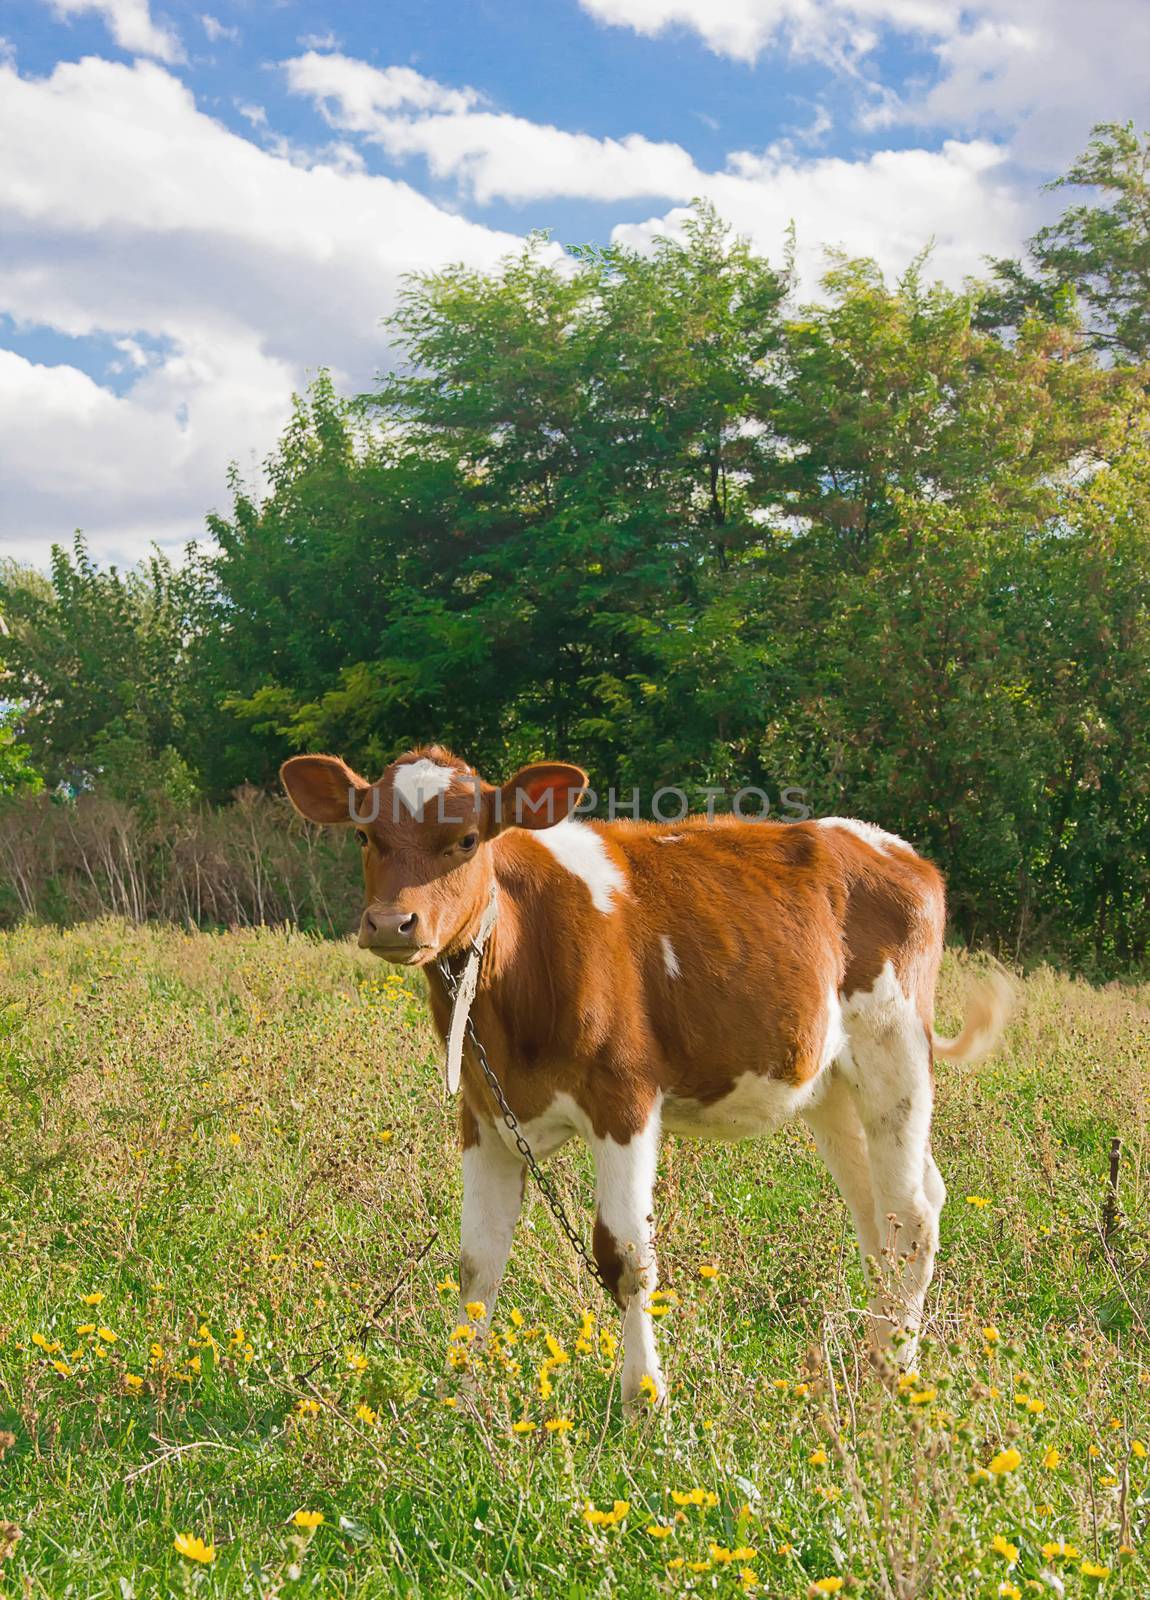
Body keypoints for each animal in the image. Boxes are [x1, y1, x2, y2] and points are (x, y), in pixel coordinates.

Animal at [281, 742, 1010, 1408]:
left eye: (465, 839)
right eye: (365, 834)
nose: (391, 922)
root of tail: (891, 846)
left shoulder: (624, 1098)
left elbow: (626, 1257)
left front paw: (644, 1396)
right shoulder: (485, 1113)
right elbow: (477, 1263)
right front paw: (461, 1401)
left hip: (894, 1049)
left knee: (912, 1212)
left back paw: (896, 1378)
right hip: (829, 1085)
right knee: (878, 1217)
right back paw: (876, 1360)